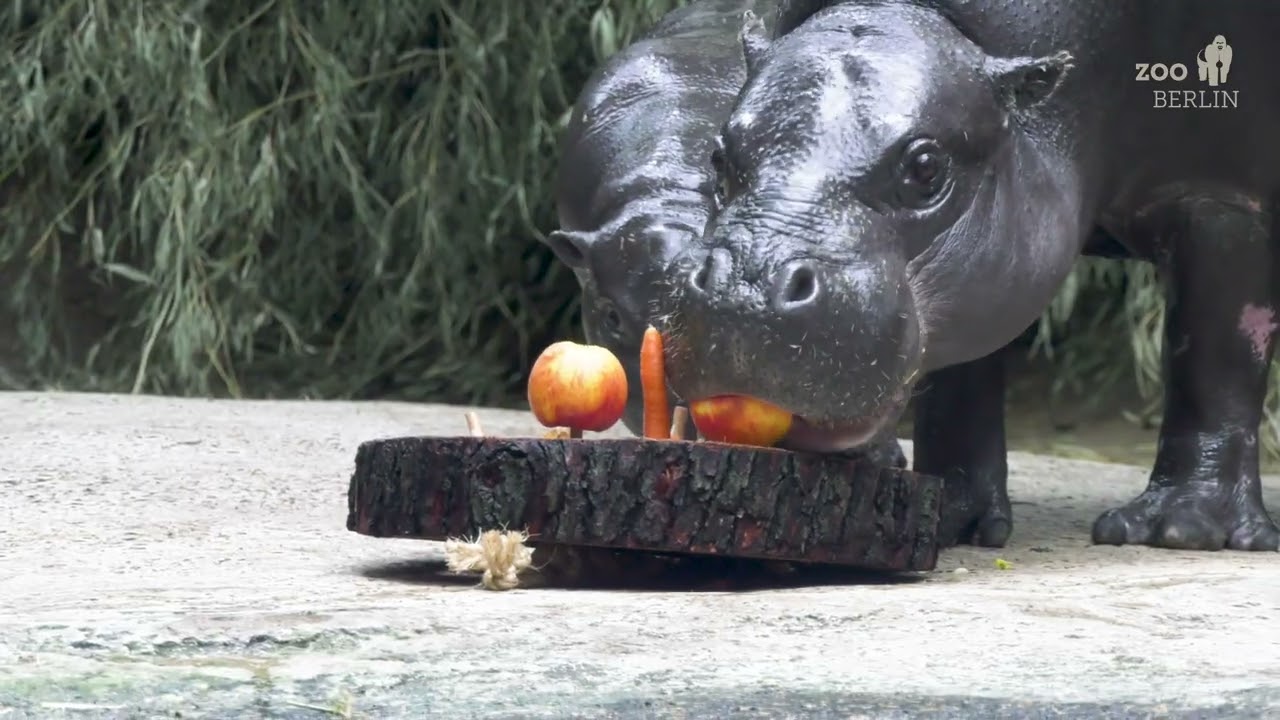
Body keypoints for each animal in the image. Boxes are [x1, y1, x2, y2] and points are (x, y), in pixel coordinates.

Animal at [659, 0, 1280, 552]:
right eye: (718, 155)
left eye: (925, 166)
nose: (745, 290)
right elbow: (962, 380)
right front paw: (950, 513)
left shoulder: (1226, 201)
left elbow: (1215, 358)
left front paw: (1180, 530)